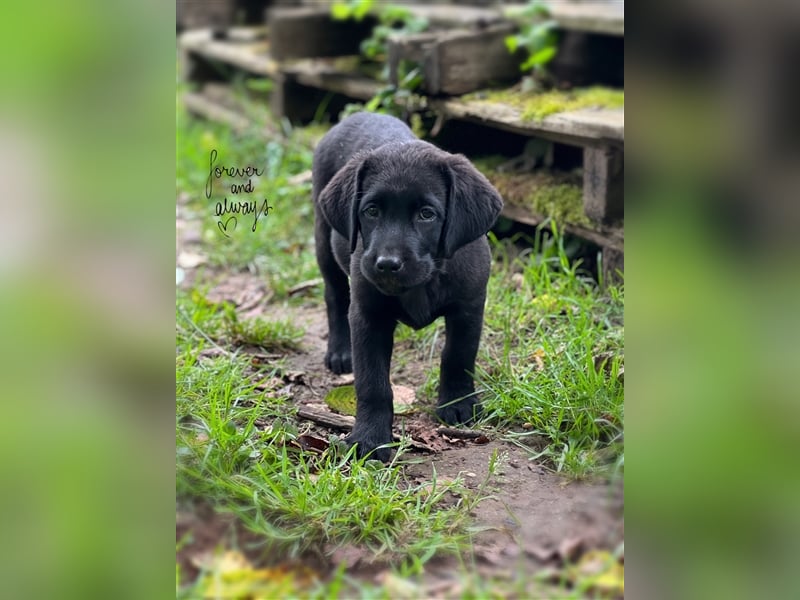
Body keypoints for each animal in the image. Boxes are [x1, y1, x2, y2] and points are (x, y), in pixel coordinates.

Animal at [310, 111, 500, 460]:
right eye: (371, 211)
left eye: (427, 214)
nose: (387, 263)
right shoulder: (368, 316)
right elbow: (372, 383)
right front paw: (370, 438)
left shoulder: (469, 307)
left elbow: (458, 356)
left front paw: (458, 405)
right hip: (323, 241)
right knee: (335, 296)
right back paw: (341, 351)